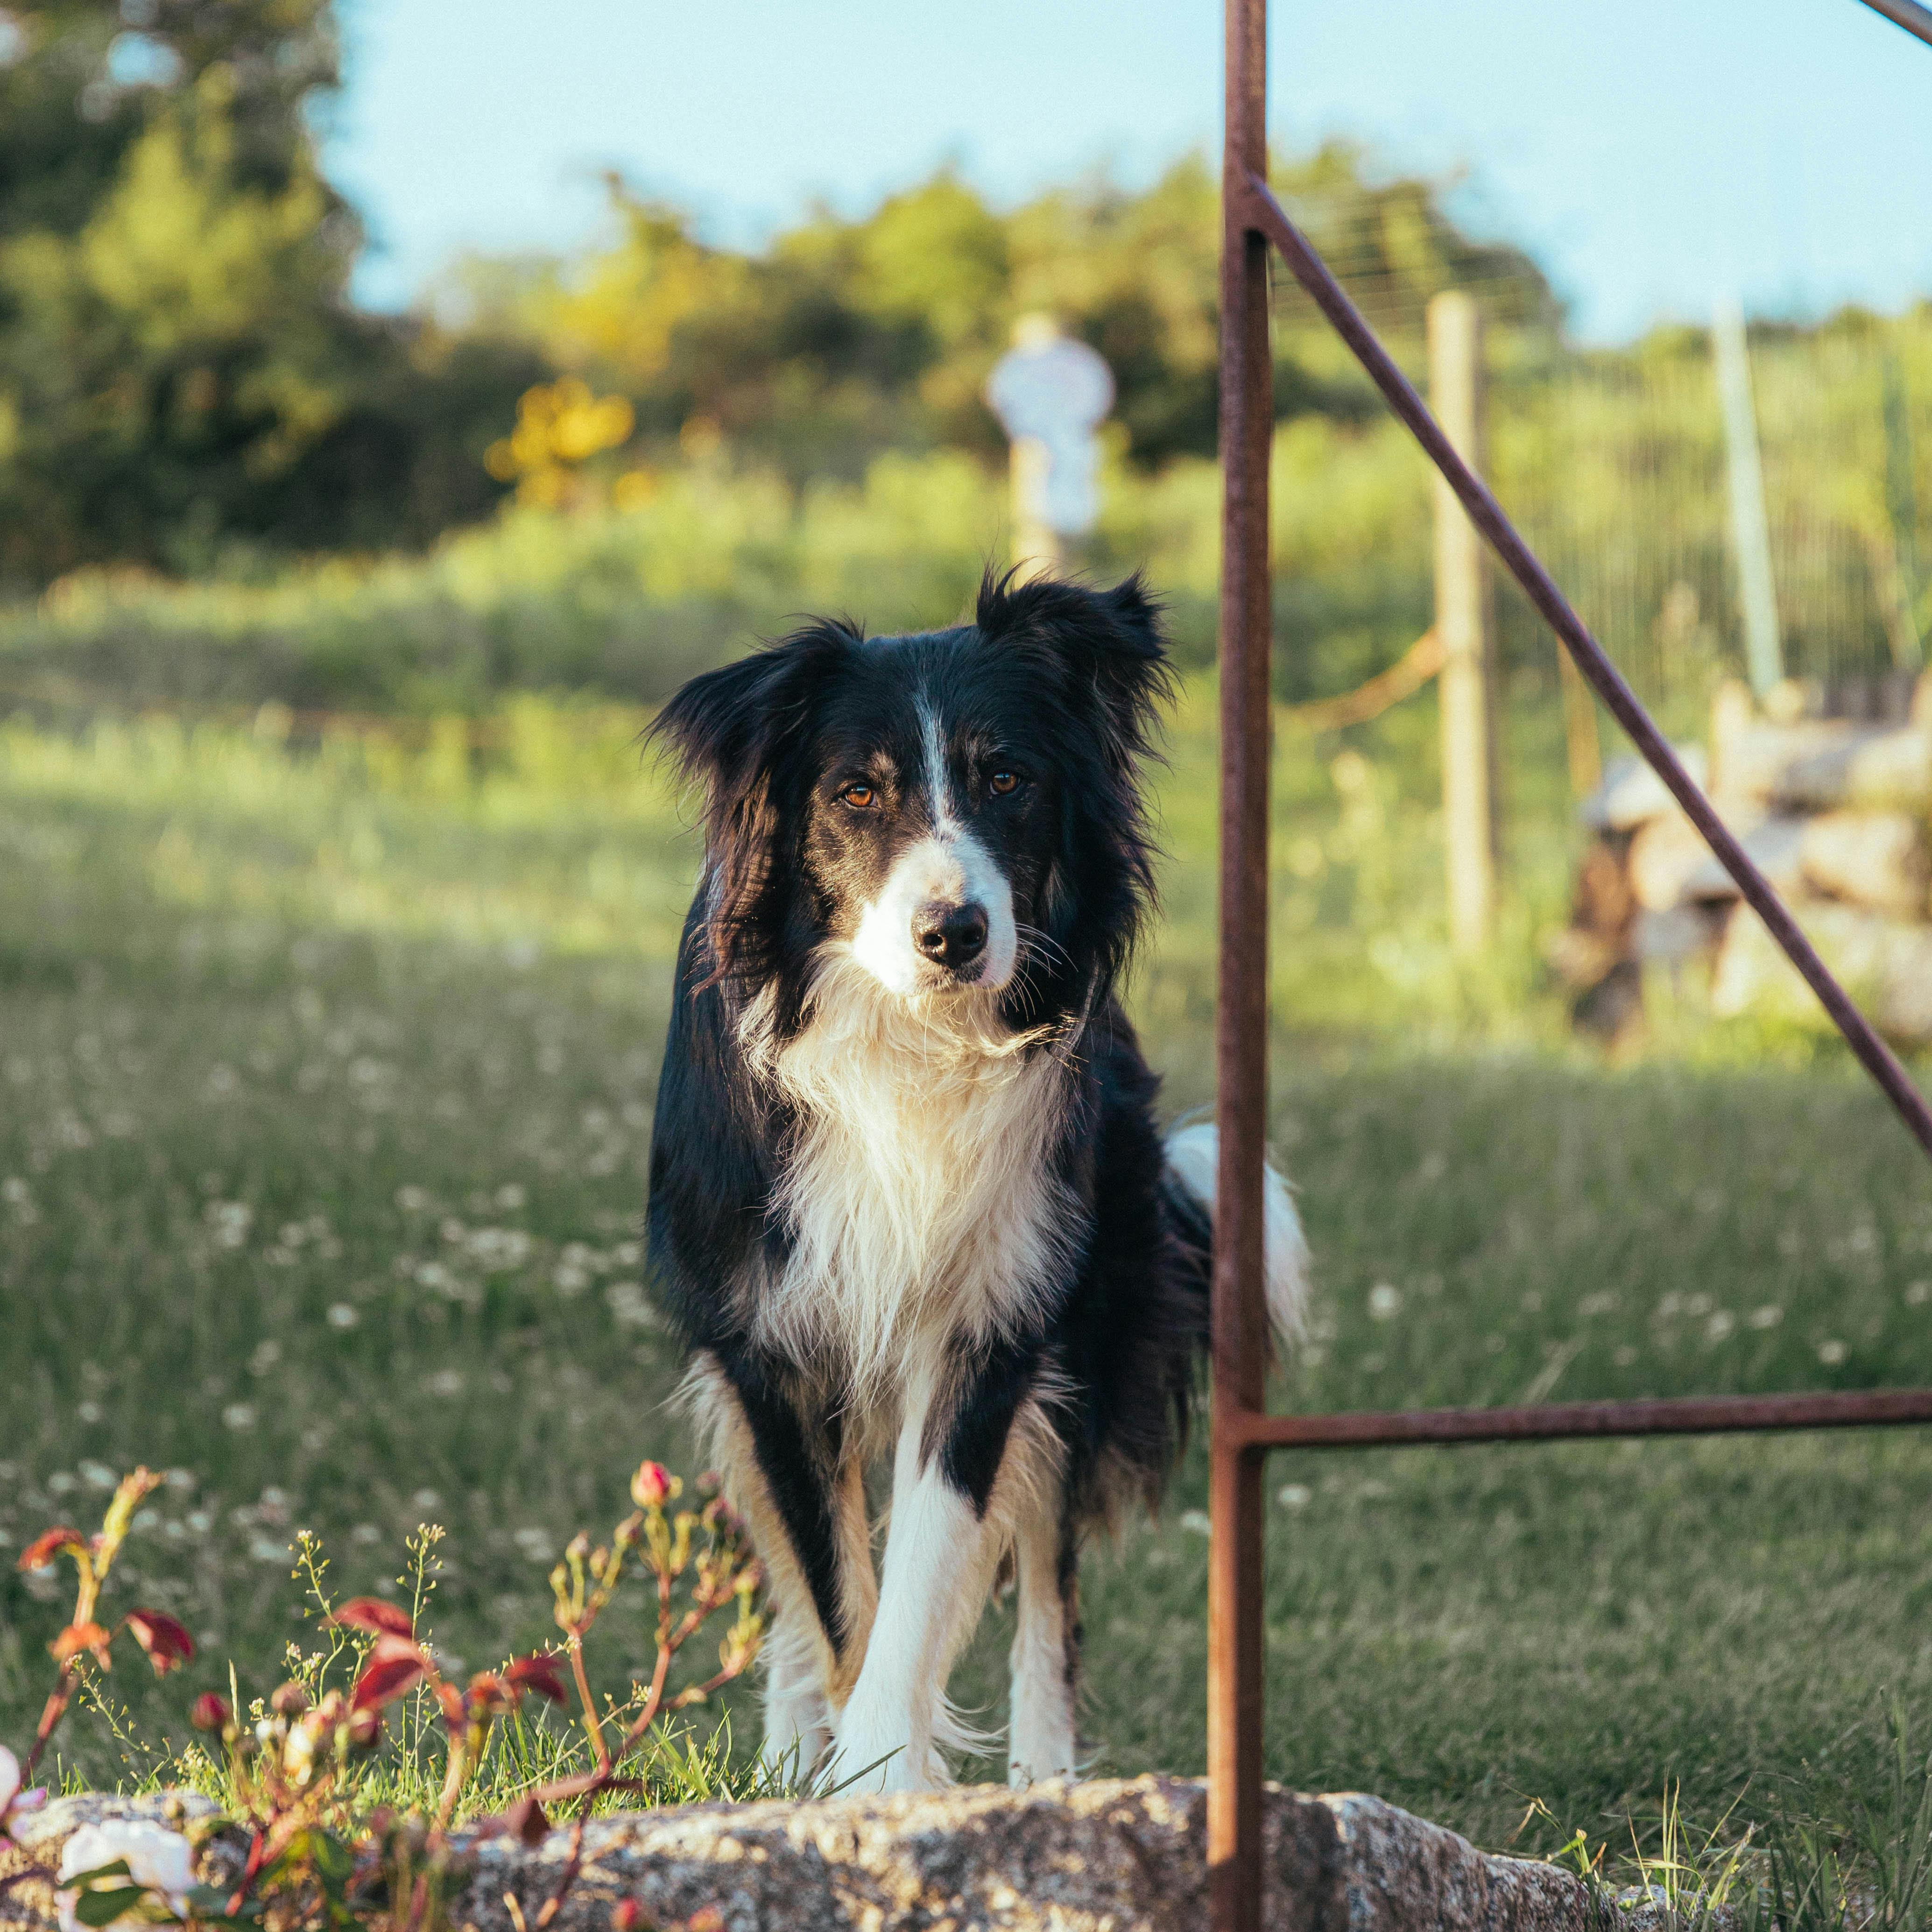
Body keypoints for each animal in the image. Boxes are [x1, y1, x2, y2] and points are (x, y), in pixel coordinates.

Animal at [645, 571, 1298, 1793]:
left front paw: (886, 1778)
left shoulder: (993, 1320)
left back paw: (1047, 1779)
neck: (907, 1039)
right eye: (856, 792)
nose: (954, 932)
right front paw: (842, 1783)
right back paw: (785, 1758)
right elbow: (832, 1590)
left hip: (1089, 1302)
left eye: (1009, 779)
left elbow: (924, 1574)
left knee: (1046, 1579)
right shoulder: (767, 1339)